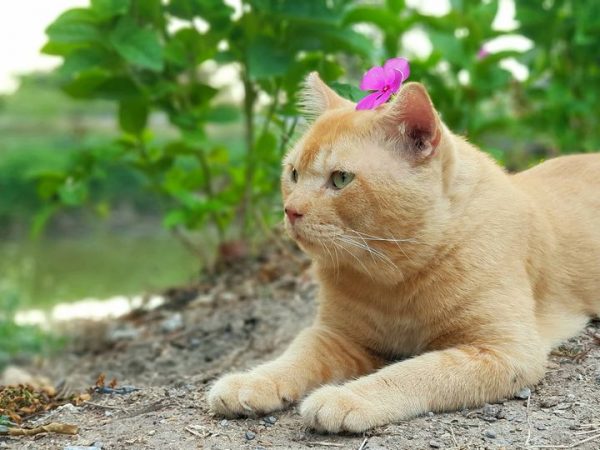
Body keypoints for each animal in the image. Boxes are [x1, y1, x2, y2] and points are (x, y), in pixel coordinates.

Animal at [208, 72, 600, 433]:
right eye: (293, 173)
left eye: (341, 179)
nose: (291, 210)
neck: (393, 278)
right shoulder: (336, 336)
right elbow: (295, 356)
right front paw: (251, 381)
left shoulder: (504, 351)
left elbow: (415, 370)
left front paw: (346, 397)